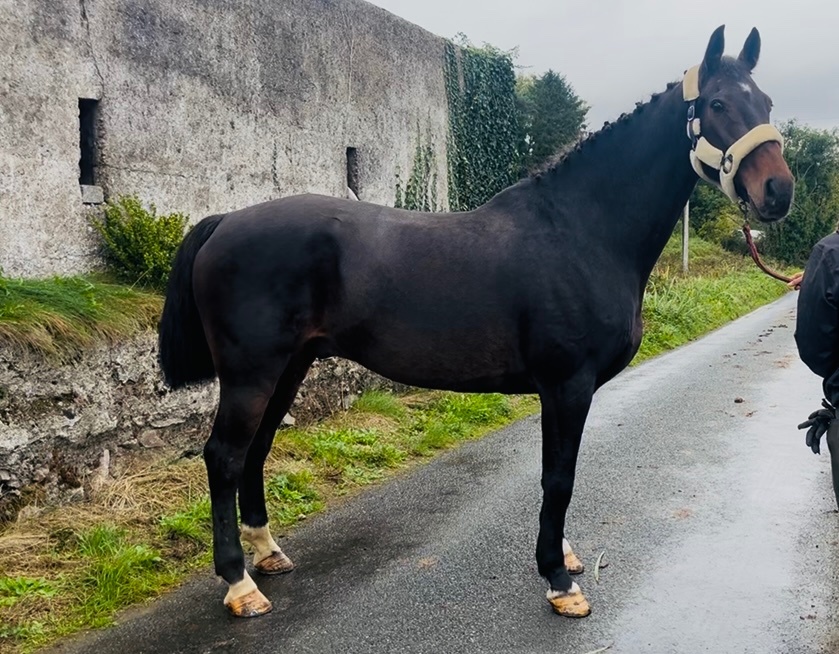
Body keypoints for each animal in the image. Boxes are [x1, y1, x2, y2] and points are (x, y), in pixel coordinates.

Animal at [158, 25, 794, 619]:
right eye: (718, 103)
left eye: (765, 102)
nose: (778, 191)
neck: (582, 231)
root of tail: (226, 220)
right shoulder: (567, 385)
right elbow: (558, 477)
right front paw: (559, 581)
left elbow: (558, 474)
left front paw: (562, 558)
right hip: (252, 373)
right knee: (224, 456)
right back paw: (240, 585)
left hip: (289, 366)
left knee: (256, 449)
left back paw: (268, 554)